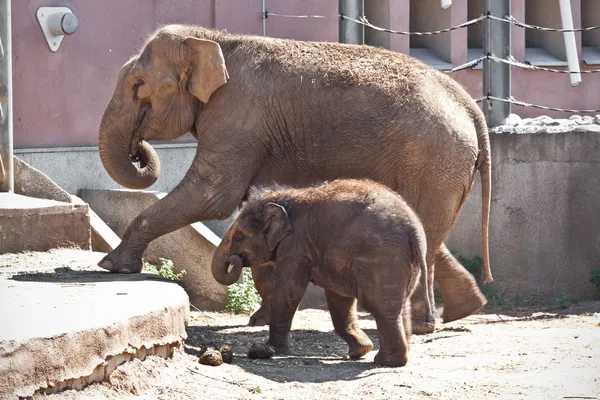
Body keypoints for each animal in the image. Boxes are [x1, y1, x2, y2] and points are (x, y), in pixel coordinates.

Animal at [97, 23, 492, 332]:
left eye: (139, 84)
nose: (138, 149)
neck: (214, 40)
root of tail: (470, 106)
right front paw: (260, 319)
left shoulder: (237, 116)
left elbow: (214, 195)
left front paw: (111, 267)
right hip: (444, 165)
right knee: (430, 232)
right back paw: (465, 309)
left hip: (433, 157)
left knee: (426, 232)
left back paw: (423, 325)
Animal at [211, 180, 432, 368]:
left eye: (237, 237)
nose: (234, 261)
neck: (285, 197)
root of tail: (415, 231)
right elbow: (339, 298)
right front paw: (360, 351)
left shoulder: (294, 246)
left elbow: (289, 290)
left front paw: (274, 349)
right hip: (403, 262)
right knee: (400, 305)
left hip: (382, 258)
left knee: (381, 308)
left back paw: (387, 362)